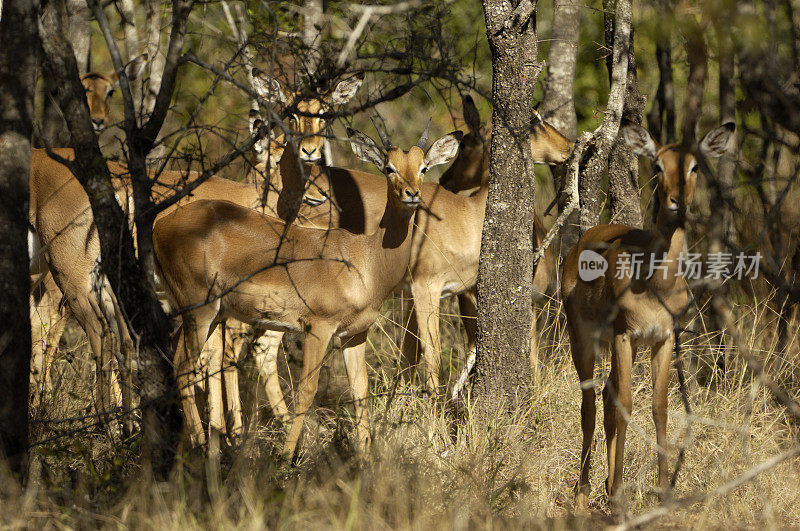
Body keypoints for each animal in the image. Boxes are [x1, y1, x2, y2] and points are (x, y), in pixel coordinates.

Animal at [153, 125, 462, 458]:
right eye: (389, 168)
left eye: (423, 167)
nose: (412, 194)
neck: (367, 259)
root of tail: (160, 225)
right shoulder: (319, 328)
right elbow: (306, 390)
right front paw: (287, 457)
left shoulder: (354, 334)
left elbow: (360, 390)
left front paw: (365, 459)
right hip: (200, 311)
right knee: (184, 369)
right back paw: (201, 448)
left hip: (208, 315)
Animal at [564, 121, 736, 508]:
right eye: (657, 165)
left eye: (695, 166)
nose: (677, 201)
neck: (656, 281)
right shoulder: (623, 335)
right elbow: (626, 404)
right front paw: (620, 496)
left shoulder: (663, 338)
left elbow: (659, 406)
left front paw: (662, 490)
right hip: (583, 339)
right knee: (590, 404)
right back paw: (584, 492)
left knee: (607, 396)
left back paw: (607, 486)